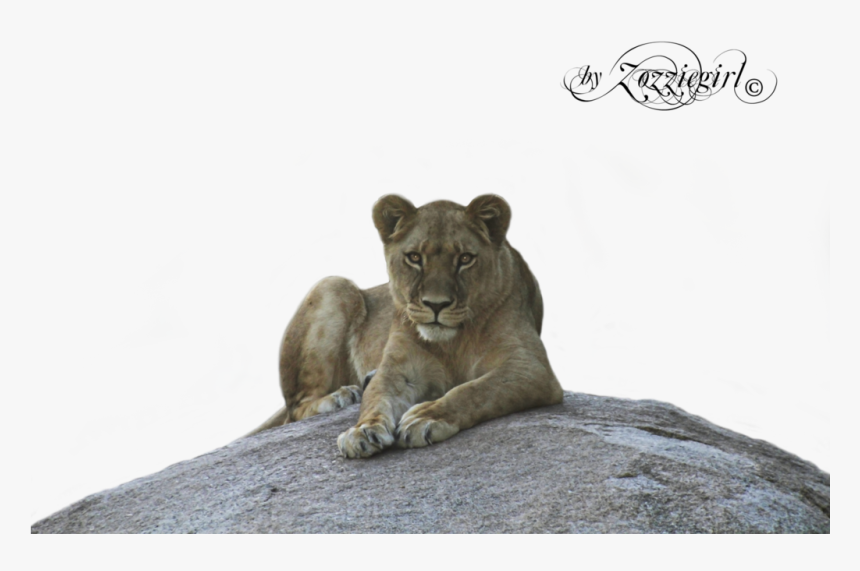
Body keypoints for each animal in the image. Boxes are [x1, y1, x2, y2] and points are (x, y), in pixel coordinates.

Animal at [246, 194, 563, 458]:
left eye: (464, 259)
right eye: (414, 258)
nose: (436, 305)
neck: (452, 343)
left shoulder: (530, 368)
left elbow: (475, 390)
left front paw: (427, 417)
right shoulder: (399, 370)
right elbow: (376, 399)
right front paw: (363, 431)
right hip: (334, 284)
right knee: (295, 408)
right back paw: (340, 396)